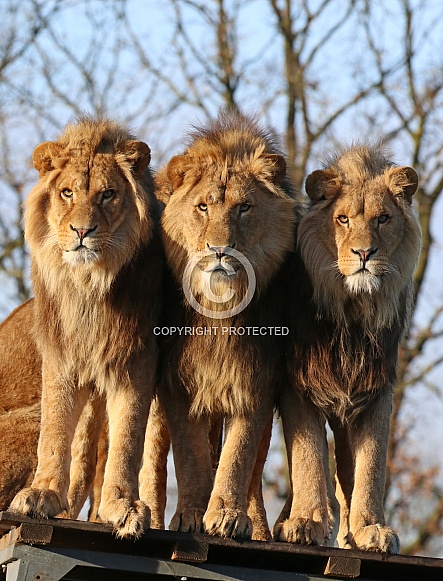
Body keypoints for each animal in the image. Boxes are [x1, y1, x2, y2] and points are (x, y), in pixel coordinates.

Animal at [9, 115, 163, 536]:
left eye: (108, 195)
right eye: (66, 193)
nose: (82, 231)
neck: (89, 286)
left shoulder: (136, 360)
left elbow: (128, 438)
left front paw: (122, 505)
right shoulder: (61, 358)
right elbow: (55, 431)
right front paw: (41, 494)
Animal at [144, 110, 298, 540]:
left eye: (244, 208)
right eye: (202, 207)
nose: (219, 250)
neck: (221, 310)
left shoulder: (257, 379)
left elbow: (239, 457)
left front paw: (228, 515)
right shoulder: (177, 382)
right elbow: (190, 455)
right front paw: (192, 515)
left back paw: (255, 526)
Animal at [274, 143, 424, 552]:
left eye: (383, 219)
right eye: (342, 219)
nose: (364, 254)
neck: (353, 312)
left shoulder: (375, 392)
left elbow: (370, 466)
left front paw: (369, 528)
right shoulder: (299, 386)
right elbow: (308, 456)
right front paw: (306, 521)